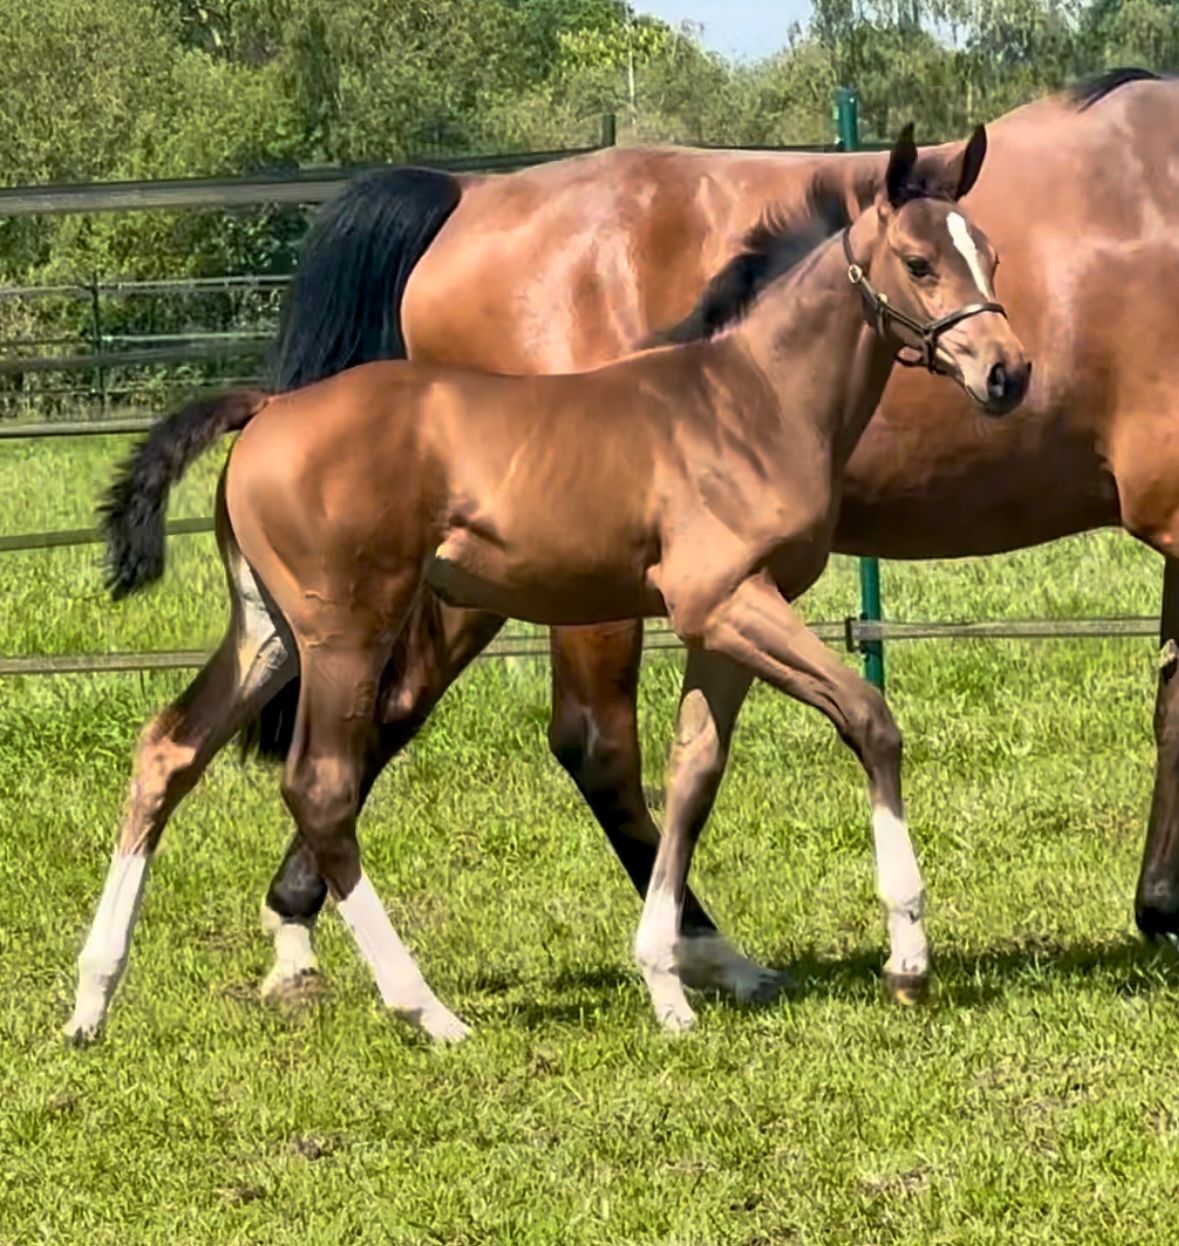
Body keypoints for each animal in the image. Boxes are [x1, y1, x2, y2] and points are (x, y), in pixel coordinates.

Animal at [67, 127, 1028, 1043]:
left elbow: (691, 772)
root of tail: (267, 407)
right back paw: (426, 1008)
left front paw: (669, 980)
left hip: (267, 629)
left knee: (169, 750)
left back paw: (91, 1001)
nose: (1007, 372)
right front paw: (906, 957)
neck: (747, 399)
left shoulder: (725, 621)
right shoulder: (723, 601)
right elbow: (868, 720)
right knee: (321, 790)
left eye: (988, 250)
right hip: (345, 631)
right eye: (919, 262)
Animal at [212, 67, 1179, 1007]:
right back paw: (693, 953)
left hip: (473, 580)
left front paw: (1158, 909)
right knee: (590, 746)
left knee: (392, 712)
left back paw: (298, 930)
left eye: (993, 256)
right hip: (568, 594)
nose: (1008, 373)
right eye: (916, 263)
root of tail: (464, 194)